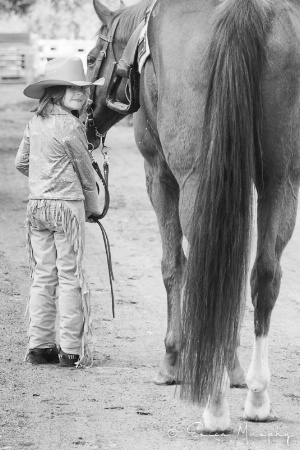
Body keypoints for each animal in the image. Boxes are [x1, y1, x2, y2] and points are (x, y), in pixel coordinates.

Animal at [85, 0, 300, 432]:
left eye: (89, 58)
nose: (84, 118)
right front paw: (233, 370)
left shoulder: (158, 173)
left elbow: (173, 266)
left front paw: (171, 361)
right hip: (280, 180)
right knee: (262, 274)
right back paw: (256, 398)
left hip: (197, 179)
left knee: (206, 269)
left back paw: (214, 407)